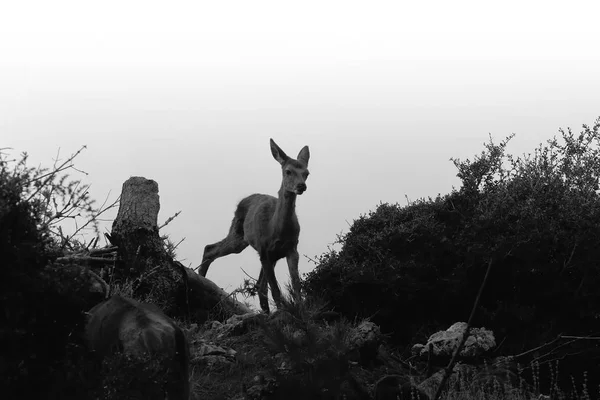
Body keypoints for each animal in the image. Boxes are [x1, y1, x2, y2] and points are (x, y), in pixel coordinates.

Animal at [198, 139, 312, 314]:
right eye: (288, 171)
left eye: (306, 173)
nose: (301, 186)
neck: (276, 229)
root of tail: (242, 201)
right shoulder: (264, 250)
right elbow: (275, 291)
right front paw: (284, 314)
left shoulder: (292, 249)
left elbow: (296, 286)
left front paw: (300, 312)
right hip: (238, 235)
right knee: (210, 248)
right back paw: (202, 281)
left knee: (260, 286)